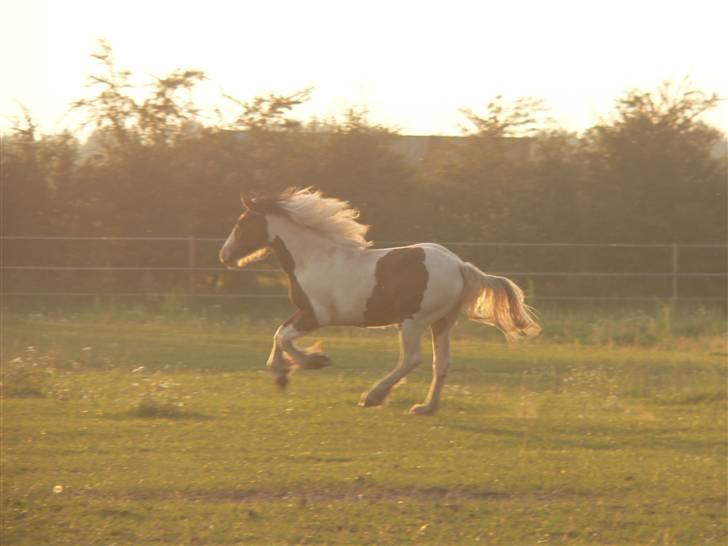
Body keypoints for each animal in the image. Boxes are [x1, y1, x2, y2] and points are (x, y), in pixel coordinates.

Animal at [219, 187, 536, 412]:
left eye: (243, 223)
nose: (225, 256)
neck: (315, 259)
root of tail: (460, 265)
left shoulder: (314, 315)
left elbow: (282, 337)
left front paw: (312, 362)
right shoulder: (302, 313)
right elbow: (278, 336)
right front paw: (282, 374)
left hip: (412, 322)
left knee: (412, 359)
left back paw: (372, 396)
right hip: (442, 323)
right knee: (442, 363)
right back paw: (425, 407)